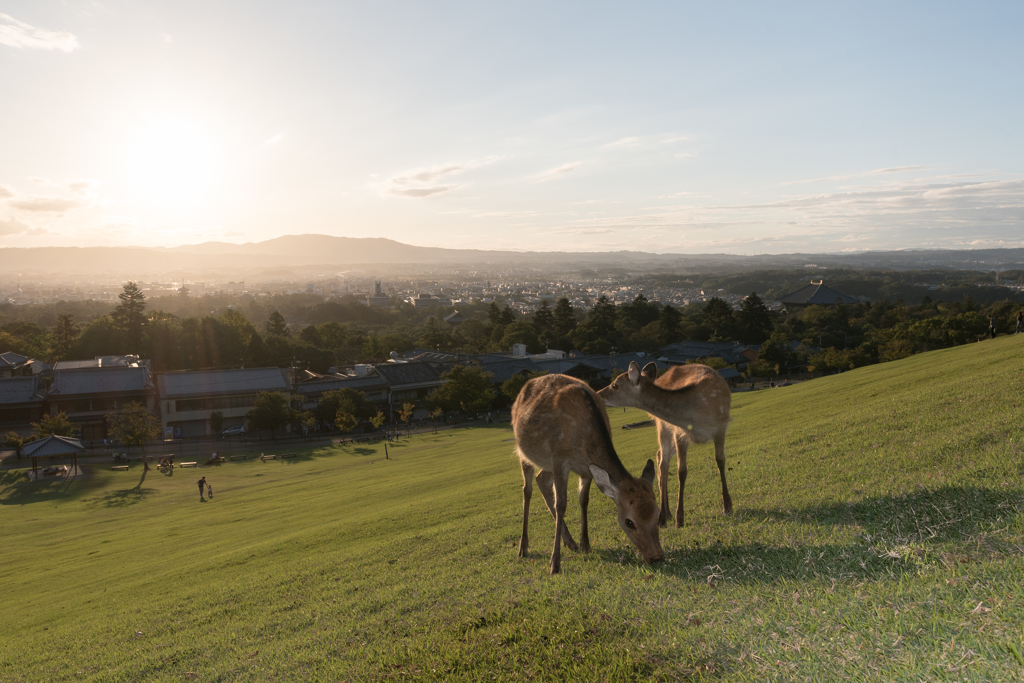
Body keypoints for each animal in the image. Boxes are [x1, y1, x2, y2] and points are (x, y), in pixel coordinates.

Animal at [512, 370, 663, 573]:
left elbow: (584, 500)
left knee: (541, 479)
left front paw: (585, 544)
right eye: (629, 522)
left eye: (658, 514)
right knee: (527, 489)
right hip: (524, 452)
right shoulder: (560, 458)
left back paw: (570, 542)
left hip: (547, 464)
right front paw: (555, 563)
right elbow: (562, 505)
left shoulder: (586, 469)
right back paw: (523, 547)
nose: (656, 557)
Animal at [598, 362, 733, 528]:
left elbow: (720, 461)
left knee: (660, 456)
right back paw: (664, 515)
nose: (597, 393)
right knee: (663, 463)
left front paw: (727, 506)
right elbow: (681, 471)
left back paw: (666, 513)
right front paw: (679, 518)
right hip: (662, 426)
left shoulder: (721, 426)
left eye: (615, 385)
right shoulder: (679, 432)